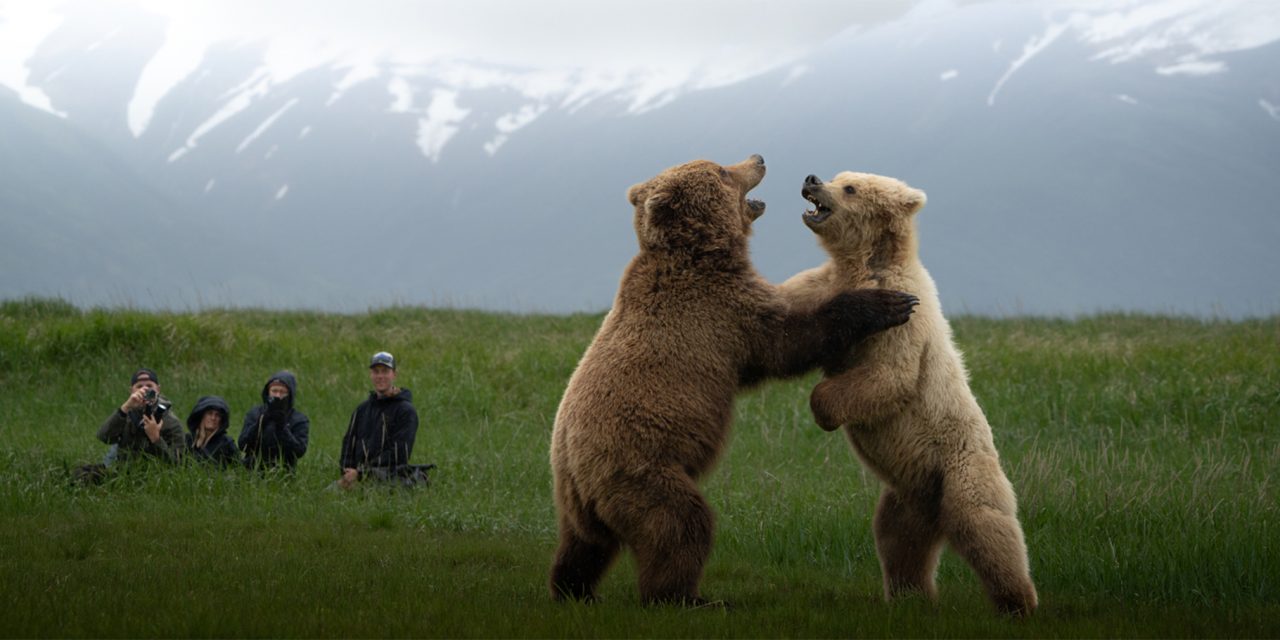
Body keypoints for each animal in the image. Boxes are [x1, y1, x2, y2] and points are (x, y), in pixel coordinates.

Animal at [548, 156, 920, 605]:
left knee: (583, 547)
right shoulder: (722, 312)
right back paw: (687, 597)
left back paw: (575, 589)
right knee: (679, 524)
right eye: (722, 171)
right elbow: (787, 341)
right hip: (638, 470)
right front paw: (888, 304)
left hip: (576, 501)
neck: (704, 254)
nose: (758, 158)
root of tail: (573, 470)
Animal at [779, 171, 1038, 616]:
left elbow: (890, 376)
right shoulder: (821, 285)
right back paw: (910, 596)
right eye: (838, 176)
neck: (865, 265)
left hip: (962, 468)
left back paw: (1018, 601)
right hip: (909, 494)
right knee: (898, 541)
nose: (811, 179)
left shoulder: (905, 320)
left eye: (849, 187)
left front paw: (824, 409)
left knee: (987, 525)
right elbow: (786, 309)